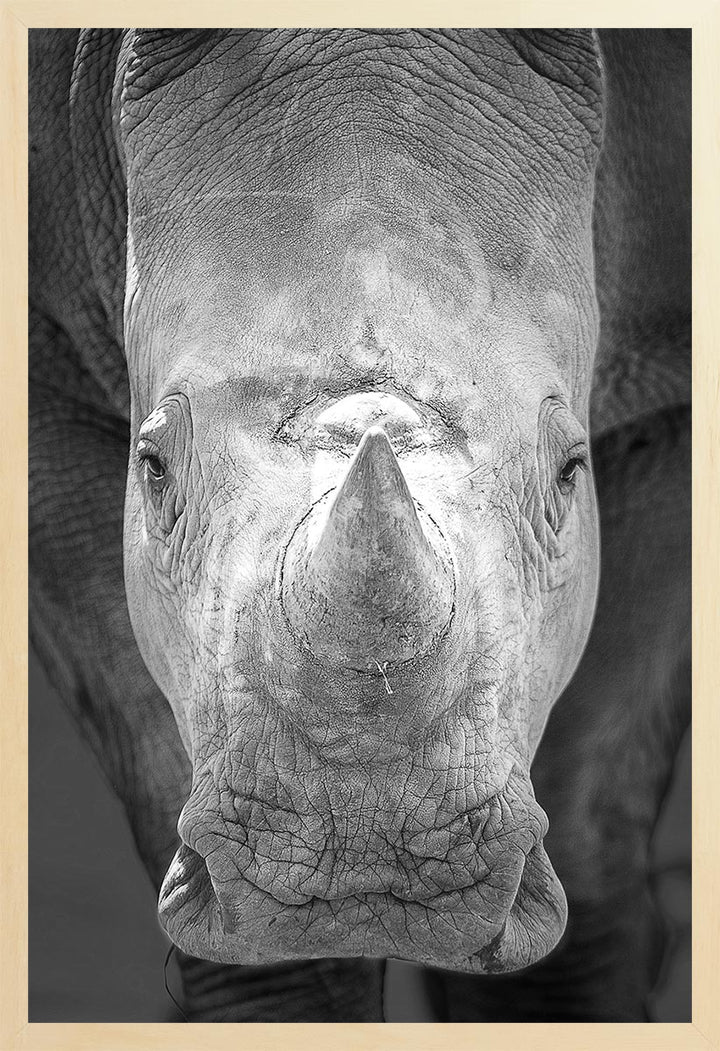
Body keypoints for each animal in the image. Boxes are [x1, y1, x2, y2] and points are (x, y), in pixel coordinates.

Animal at [29, 28, 690, 1021]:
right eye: (152, 470)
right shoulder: (46, 375)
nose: (364, 878)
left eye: (569, 474)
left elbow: (589, 805)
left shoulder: (672, 399)